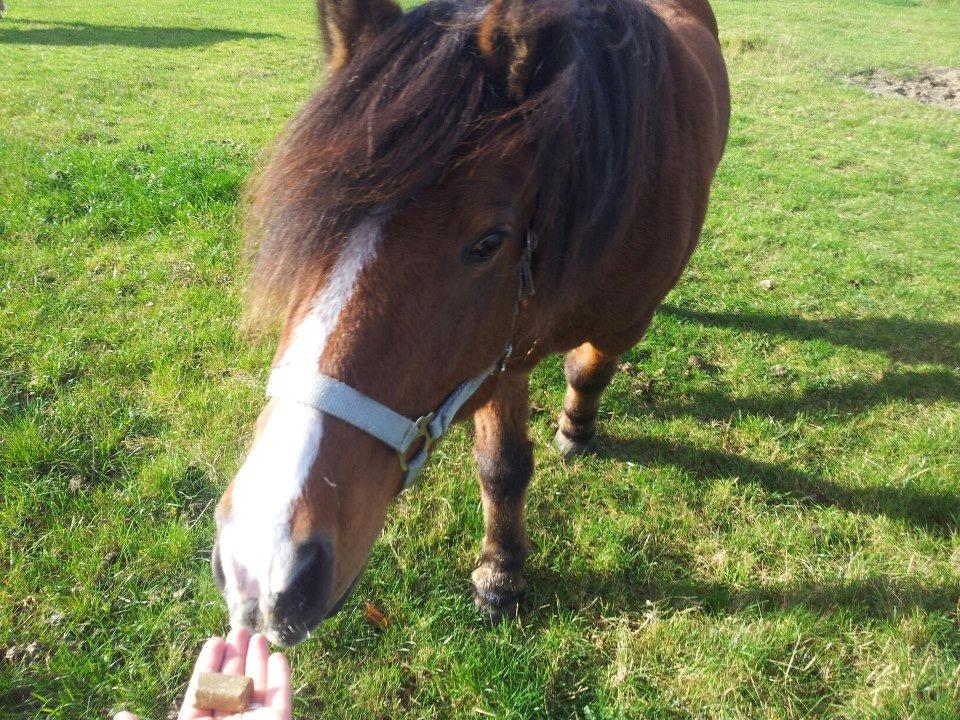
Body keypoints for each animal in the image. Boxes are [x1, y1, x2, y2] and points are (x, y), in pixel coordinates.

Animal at [212, 0, 728, 648]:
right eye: (315, 220)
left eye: (488, 243)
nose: (263, 564)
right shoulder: (497, 357)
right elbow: (501, 466)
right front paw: (501, 572)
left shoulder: (611, 326)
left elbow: (587, 372)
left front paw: (574, 432)